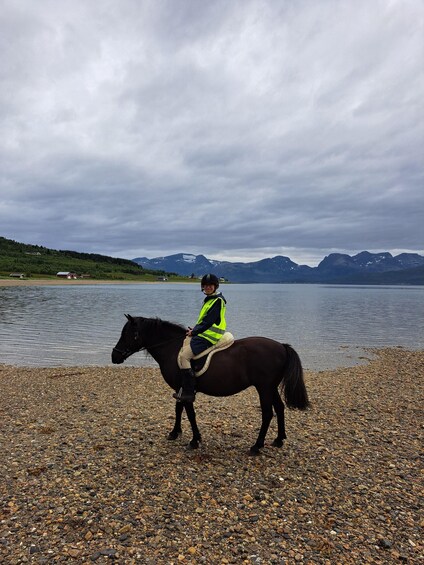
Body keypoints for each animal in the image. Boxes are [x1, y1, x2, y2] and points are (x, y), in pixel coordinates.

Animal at [112, 312, 310, 454]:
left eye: (128, 333)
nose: (114, 356)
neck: (173, 348)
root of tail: (281, 346)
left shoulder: (187, 390)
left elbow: (190, 414)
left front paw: (194, 440)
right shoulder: (180, 389)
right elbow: (178, 410)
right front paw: (175, 433)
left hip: (264, 388)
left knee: (268, 414)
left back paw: (256, 446)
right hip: (271, 387)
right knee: (280, 408)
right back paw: (279, 440)